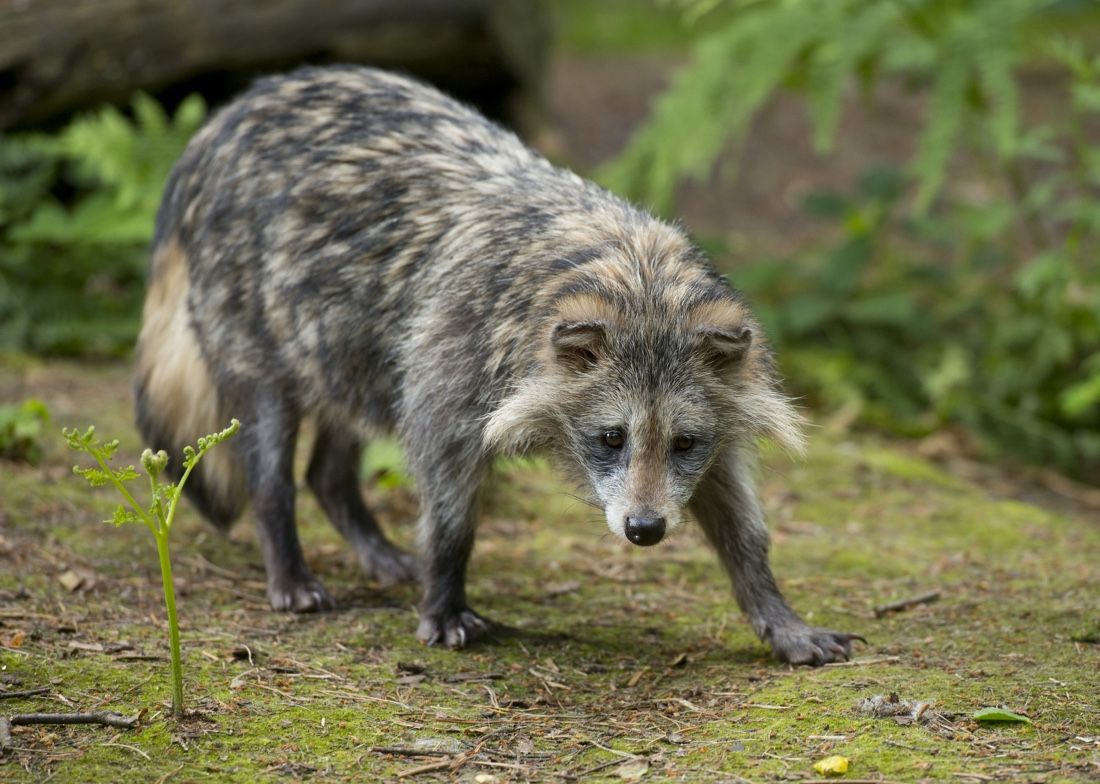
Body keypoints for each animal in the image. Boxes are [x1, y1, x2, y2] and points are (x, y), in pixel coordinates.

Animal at [135, 65, 862, 665]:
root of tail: (223, 120)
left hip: (354, 344)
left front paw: (775, 610)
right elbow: (449, 500)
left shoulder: (720, 415)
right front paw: (445, 590)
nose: (645, 529)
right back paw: (286, 557)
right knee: (272, 451)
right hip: (258, 322)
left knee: (334, 454)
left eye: (684, 442)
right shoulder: (453, 366)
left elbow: (739, 518)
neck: (636, 276)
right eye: (611, 438)